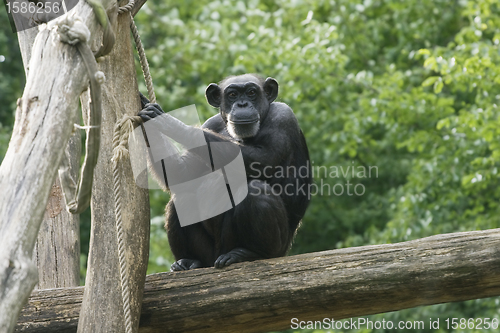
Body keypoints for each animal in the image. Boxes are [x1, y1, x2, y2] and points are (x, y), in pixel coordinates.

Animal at [139, 73, 310, 270]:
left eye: (252, 92)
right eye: (232, 95)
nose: (242, 104)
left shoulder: (283, 116)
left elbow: (263, 158)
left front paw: (170, 123)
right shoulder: (211, 123)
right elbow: (181, 173)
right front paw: (149, 116)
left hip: (273, 247)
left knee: (256, 191)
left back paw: (251, 253)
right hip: (209, 254)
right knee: (181, 199)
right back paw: (188, 260)